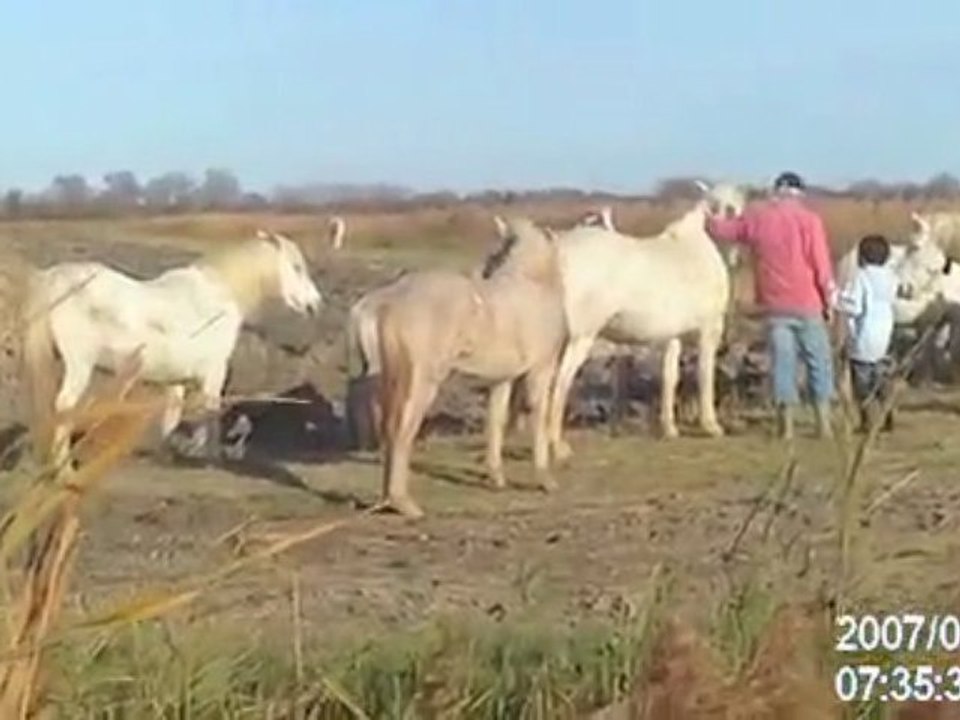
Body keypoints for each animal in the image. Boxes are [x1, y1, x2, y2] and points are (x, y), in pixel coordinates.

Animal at [21, 229, 324, 472]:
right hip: (79, 365)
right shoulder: (213, 373)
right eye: (296, 267)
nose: (315, 304)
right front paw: (210, 459)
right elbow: (209, 414)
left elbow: (172, 416)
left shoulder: (176, 379)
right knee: (65, 406)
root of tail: (55, 279)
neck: (218, 295)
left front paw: (168, 454)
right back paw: (64, 466)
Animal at [374, 217, 567, 518]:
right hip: (422, 383)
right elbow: (538, 416)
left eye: (494, 255)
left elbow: (495, 421)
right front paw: (545, 480)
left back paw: (387, 501)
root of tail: (394, 300)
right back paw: (403, 503)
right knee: (402, 430)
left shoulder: (502, 379)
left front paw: (496, 477)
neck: (532, 282)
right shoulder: (540, 369)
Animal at [541, 180, 748, 463]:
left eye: (737, 206)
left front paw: (669, 428)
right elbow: (705, 374)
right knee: (560, 381)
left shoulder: (674, 336)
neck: (694, 251)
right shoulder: (709, 330)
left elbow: (670, 377)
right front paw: (711, 425)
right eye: (718, 207)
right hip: (578, 338)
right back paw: (557, 446)